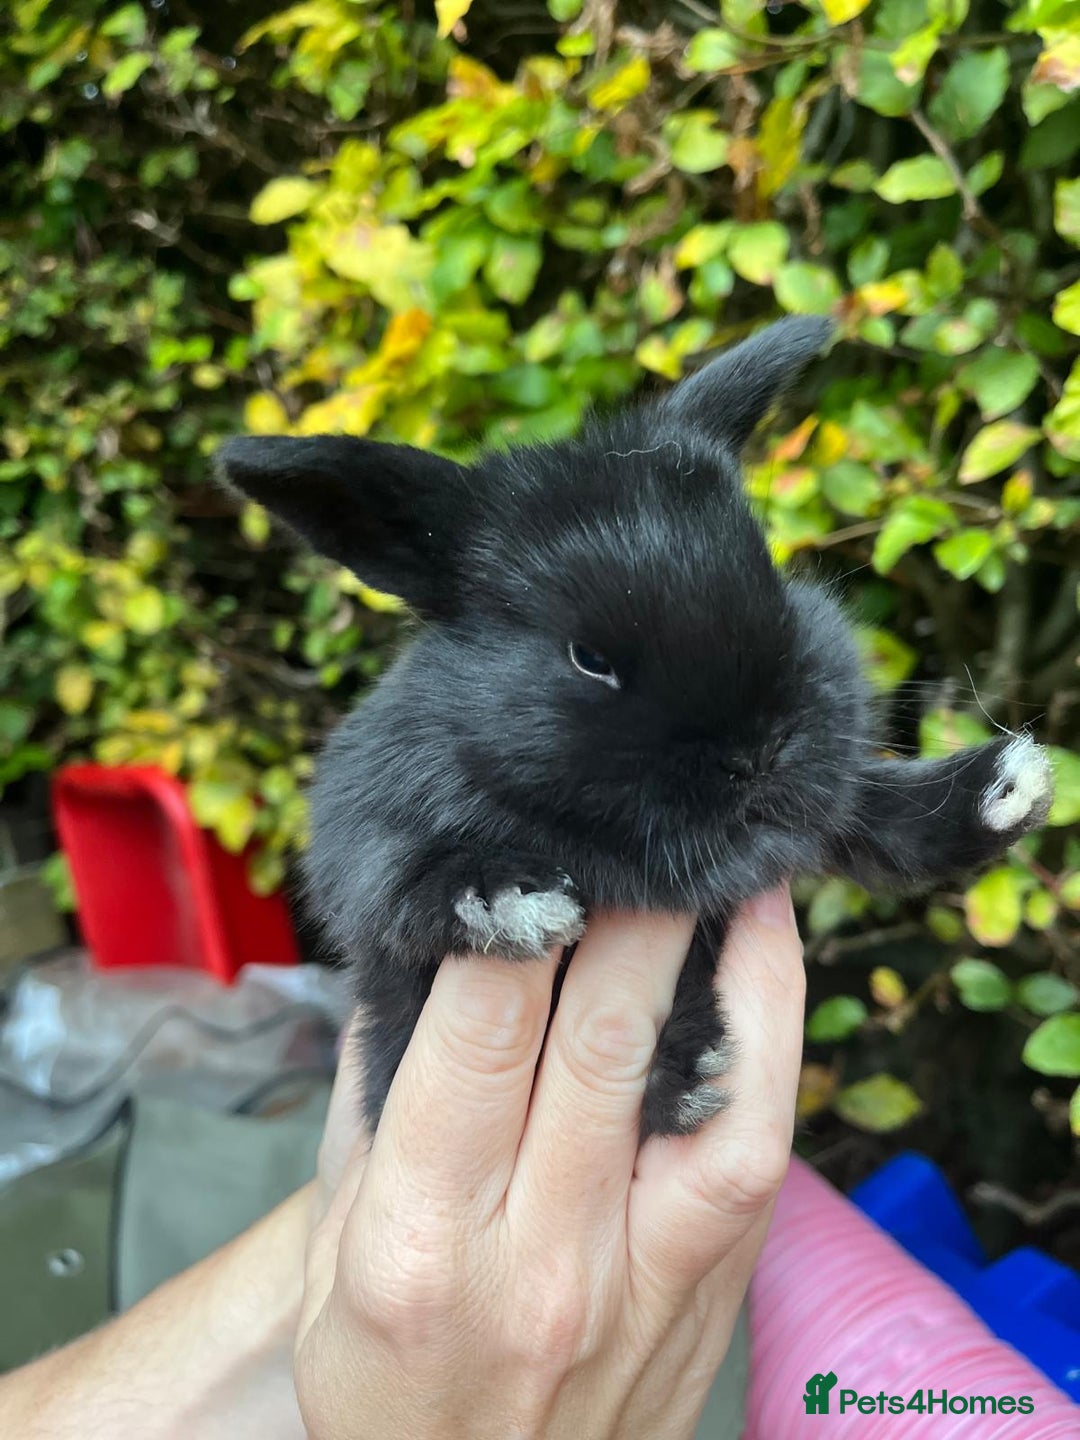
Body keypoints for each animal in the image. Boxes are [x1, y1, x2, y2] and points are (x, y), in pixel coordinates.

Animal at [217, 316, 1053, 1139]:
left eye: (774, 585)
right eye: (589, 658)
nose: (759, 755)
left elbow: (886, 824)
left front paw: (1008, 786)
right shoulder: (366, 852)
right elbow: (405, 888)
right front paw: (514, 898)